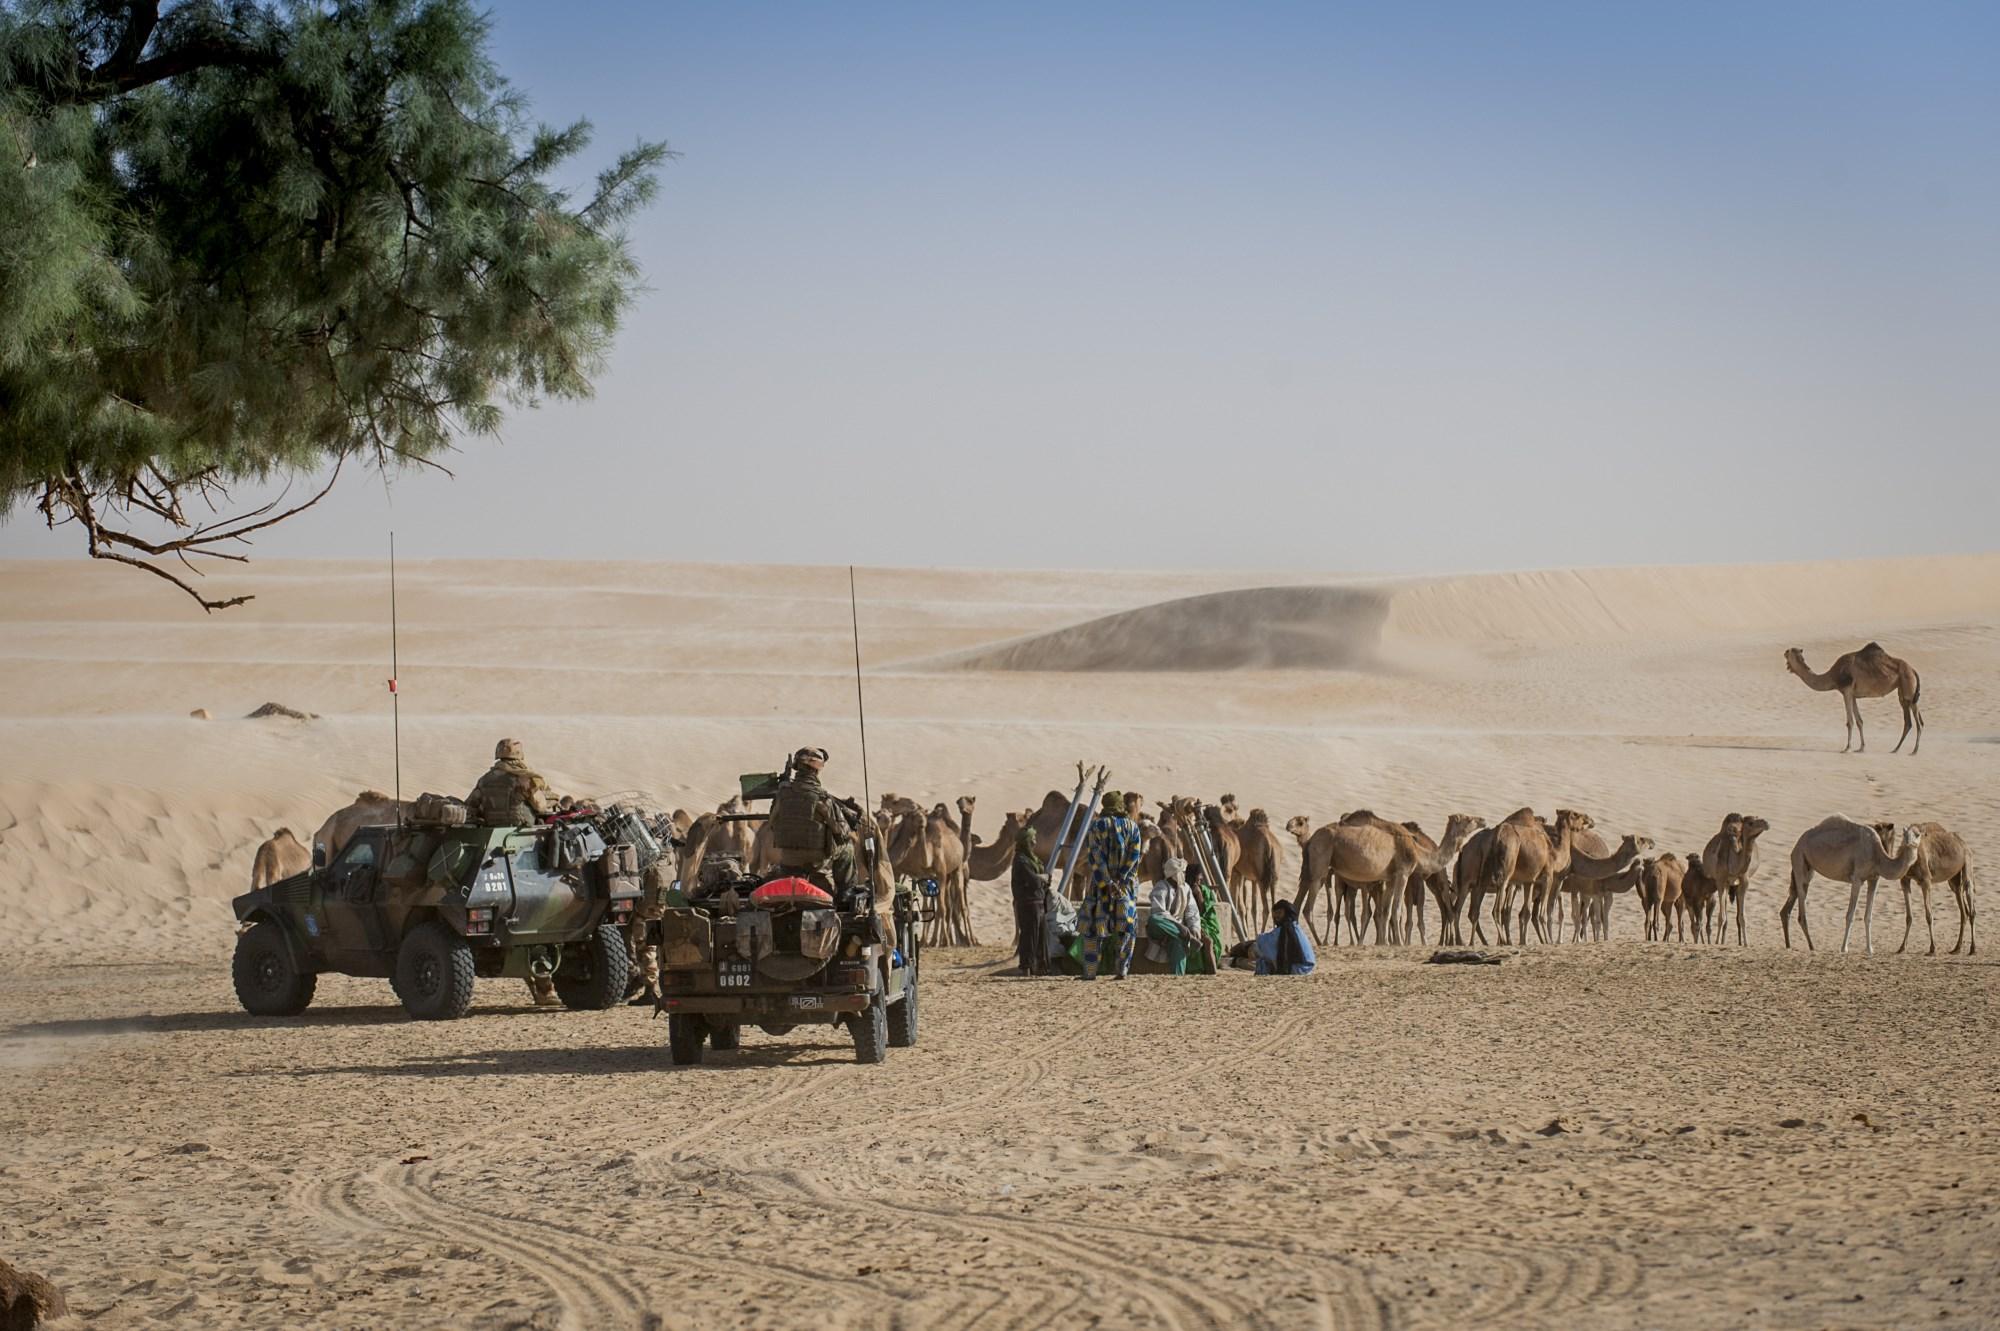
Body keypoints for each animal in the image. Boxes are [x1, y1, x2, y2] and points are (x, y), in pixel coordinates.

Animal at [1784, 643, 1920, 751]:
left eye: (1789, 651)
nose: (1784, 652)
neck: (1833, 676)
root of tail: (1913, 670)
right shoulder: (1853, 694)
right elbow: (1859, 721)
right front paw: (1861, 748)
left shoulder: (1847, 690)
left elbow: (1850, 721)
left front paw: (1847, 748)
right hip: (1902, 691)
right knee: (1910, 719)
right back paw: (1897, 749)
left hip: (1908, 687)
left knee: (1915, 720)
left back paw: (1912, 750)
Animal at [1784, 815, 1920, 947]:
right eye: (1904, 834)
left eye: (1918, 834)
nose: (1909, 843)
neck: (1877, 854)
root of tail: (1797, 844)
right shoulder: (1857, 879)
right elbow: (1850, 915)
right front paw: (1844, 948)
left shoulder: (1874, 879)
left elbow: (1868, 916)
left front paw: (1870, 949)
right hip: (1799, 858)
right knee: (1801, 905)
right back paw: (1812, 948)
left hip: (1808, 869)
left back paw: (1790, 945)